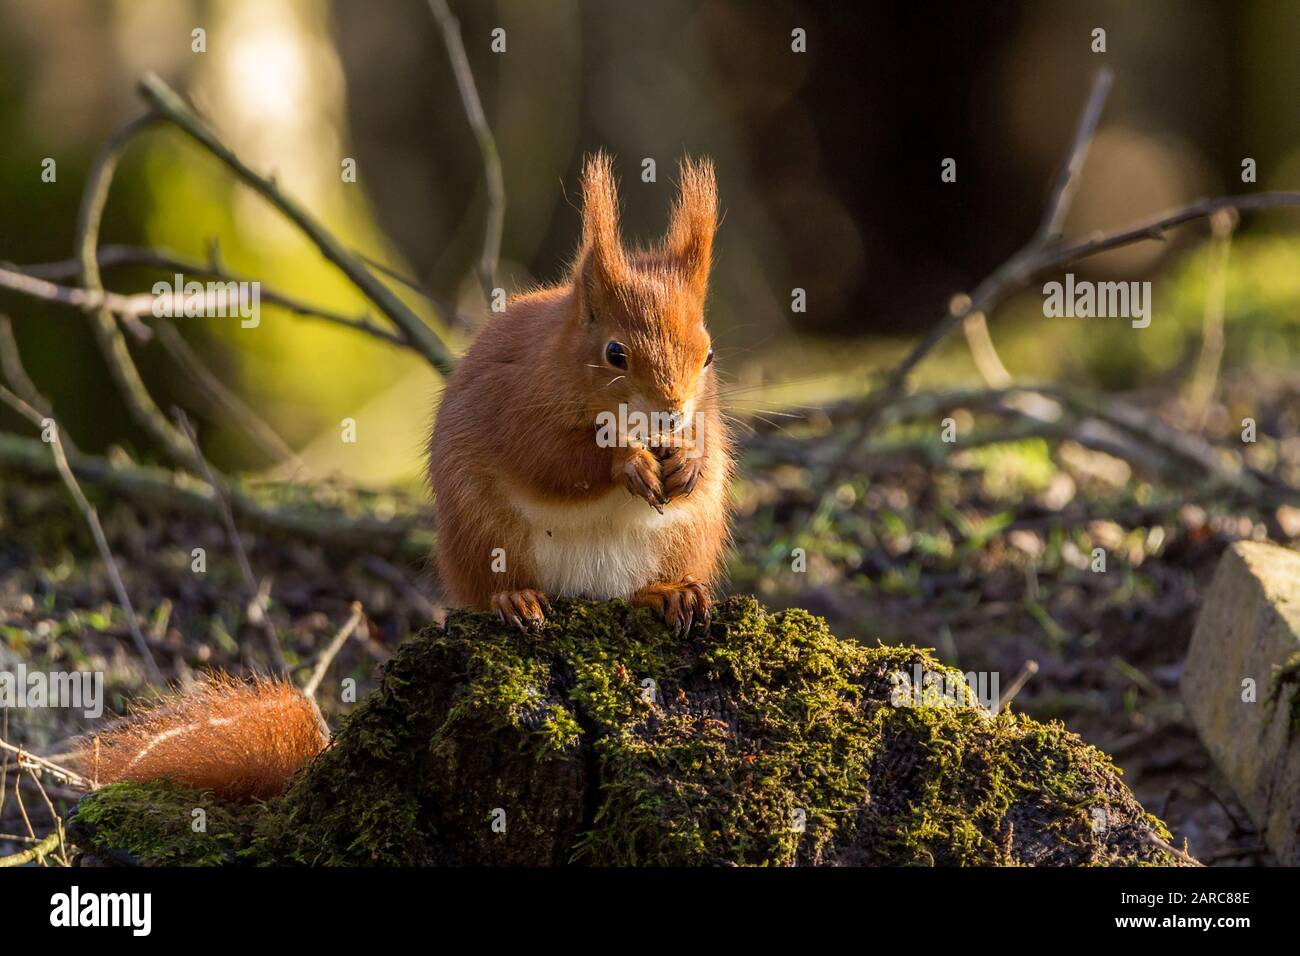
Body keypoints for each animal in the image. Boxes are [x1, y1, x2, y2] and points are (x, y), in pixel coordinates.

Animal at [426, 153, 733, 634]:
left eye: (709, 355)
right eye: (615, 353)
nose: (671, 412)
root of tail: (586, 589)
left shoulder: (708, 417)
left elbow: (709, 446)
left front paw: (689, 459)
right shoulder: (516, 402)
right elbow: (551, 458)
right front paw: (628, 461)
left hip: (686, 538)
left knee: (642, 588)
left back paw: (669, 592)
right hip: (483, 531)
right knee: (492, 584)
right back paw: (515, 599)